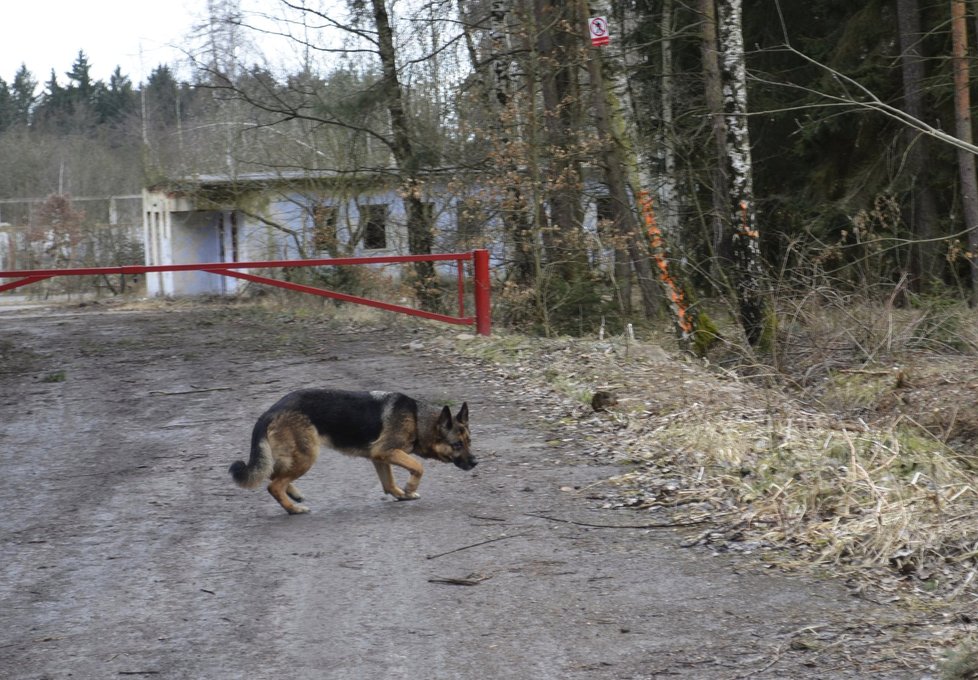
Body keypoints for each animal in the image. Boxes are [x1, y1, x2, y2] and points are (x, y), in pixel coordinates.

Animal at [229, 390, 472, 512]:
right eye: (457, 445)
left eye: (469, 441)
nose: (475, 462)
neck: (417, 419)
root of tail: (271, 411)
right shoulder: (387, 451)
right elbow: (418, 466)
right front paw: (410, 488)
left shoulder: (379, 457)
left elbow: (389, 483)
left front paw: (403, 495)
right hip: (307, 456)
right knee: (274, 484)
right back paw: (293, 509)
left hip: (293, 456)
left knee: (273, 475)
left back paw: (294, 495)